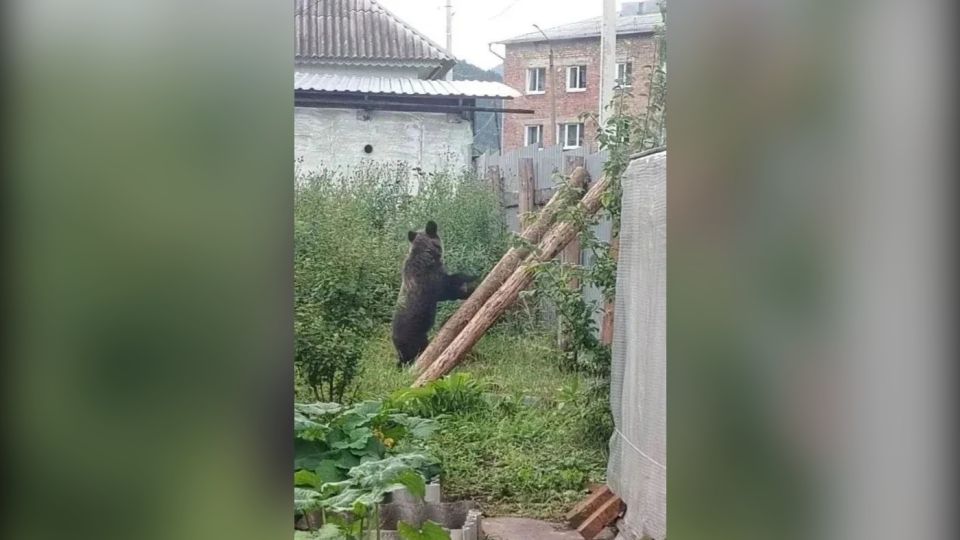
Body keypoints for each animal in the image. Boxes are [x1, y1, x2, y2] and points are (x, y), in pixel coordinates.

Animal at [391, 220, 476, 367]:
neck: (426, 253)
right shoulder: (430, 280)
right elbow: (448, 288)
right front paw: (471, 283)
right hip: (414, 333)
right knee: (416, 351)